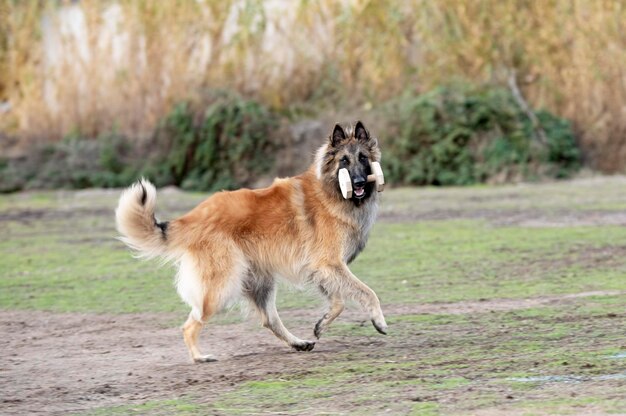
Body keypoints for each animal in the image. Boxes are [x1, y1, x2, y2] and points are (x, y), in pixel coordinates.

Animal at [113, 120, 386, 360]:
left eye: (363, 158)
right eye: (344, 161)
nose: (359, 182)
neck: (331, 191)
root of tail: (193, 217)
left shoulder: (322, 268)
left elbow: (338, 301)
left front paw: (321, 324)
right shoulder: (329, 264)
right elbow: (368, 291)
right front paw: (379, 321)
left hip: (260, 282)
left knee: (269, 319)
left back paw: (298, 343)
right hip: (222, 286)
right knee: (191, 324)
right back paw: (200, 357)